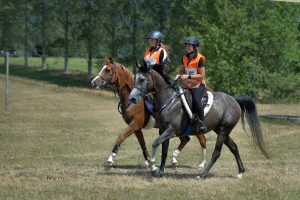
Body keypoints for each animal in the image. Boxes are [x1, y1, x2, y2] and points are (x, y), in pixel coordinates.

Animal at [129, 65, 270, 180]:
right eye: (135, 78)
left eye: (142, 79)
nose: (132, 98)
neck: (168, 101)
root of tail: (234, 100)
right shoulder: (163, 130)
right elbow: (163, 150)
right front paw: (160, 172)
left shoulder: (171, 130)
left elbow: (155, 143)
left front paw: (153, 166)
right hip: (221, 130)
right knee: (234, 147)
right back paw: (240, 172)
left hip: (224, 130)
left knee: (216, 152)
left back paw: (203, 174)